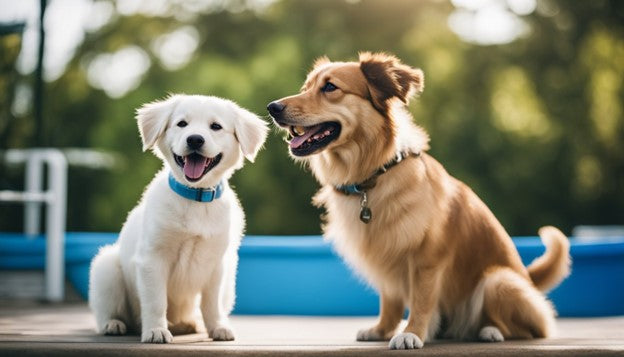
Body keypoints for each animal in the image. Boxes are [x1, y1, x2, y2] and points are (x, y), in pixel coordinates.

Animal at [88, 94, 268, 342]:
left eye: (216, 126)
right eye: (182, 124)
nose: (195, 140)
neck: (196, 197)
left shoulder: (217, 264)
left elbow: (211, 303)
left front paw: (218, 327)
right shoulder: (152, 258)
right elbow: (156, 301)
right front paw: (156, 330)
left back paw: (191, 324)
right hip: (106, 267)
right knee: (107, 311)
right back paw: (113, 324)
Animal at [268, 52, 572, 348]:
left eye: (330, 87)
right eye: (305, 88)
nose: (273, 107)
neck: (375, 174)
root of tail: (529, 281)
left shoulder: (427, 259)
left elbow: (422, 301)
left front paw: (412, 332)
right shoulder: (386, 257)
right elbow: (390, 301)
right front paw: (382, 329)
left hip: (499, 281)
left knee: (529, 328)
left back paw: (490, 331)